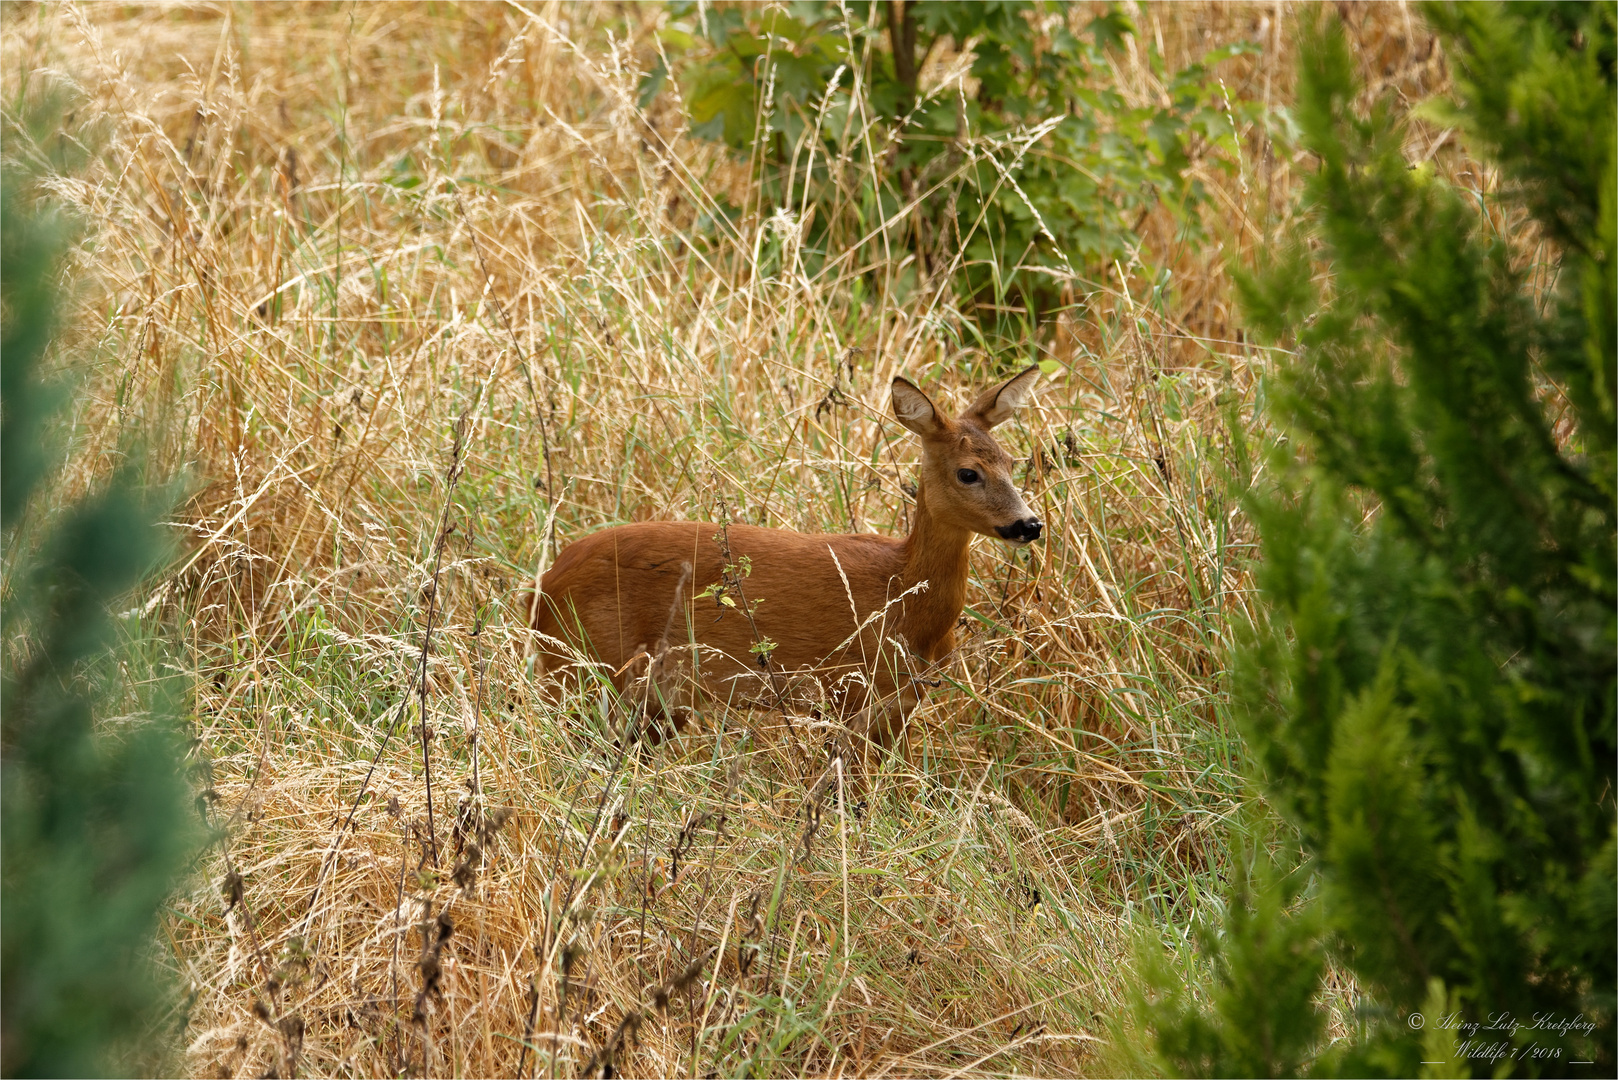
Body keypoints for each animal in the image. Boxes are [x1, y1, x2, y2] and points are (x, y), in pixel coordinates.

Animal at [524, 367, 1041, 748]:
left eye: (1012, 463)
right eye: (968, 472)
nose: (1029, 525)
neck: (903, 595)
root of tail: (539, 590)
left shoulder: (900, 703)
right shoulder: (848, 688)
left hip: (655, 697)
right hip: (581, 666)